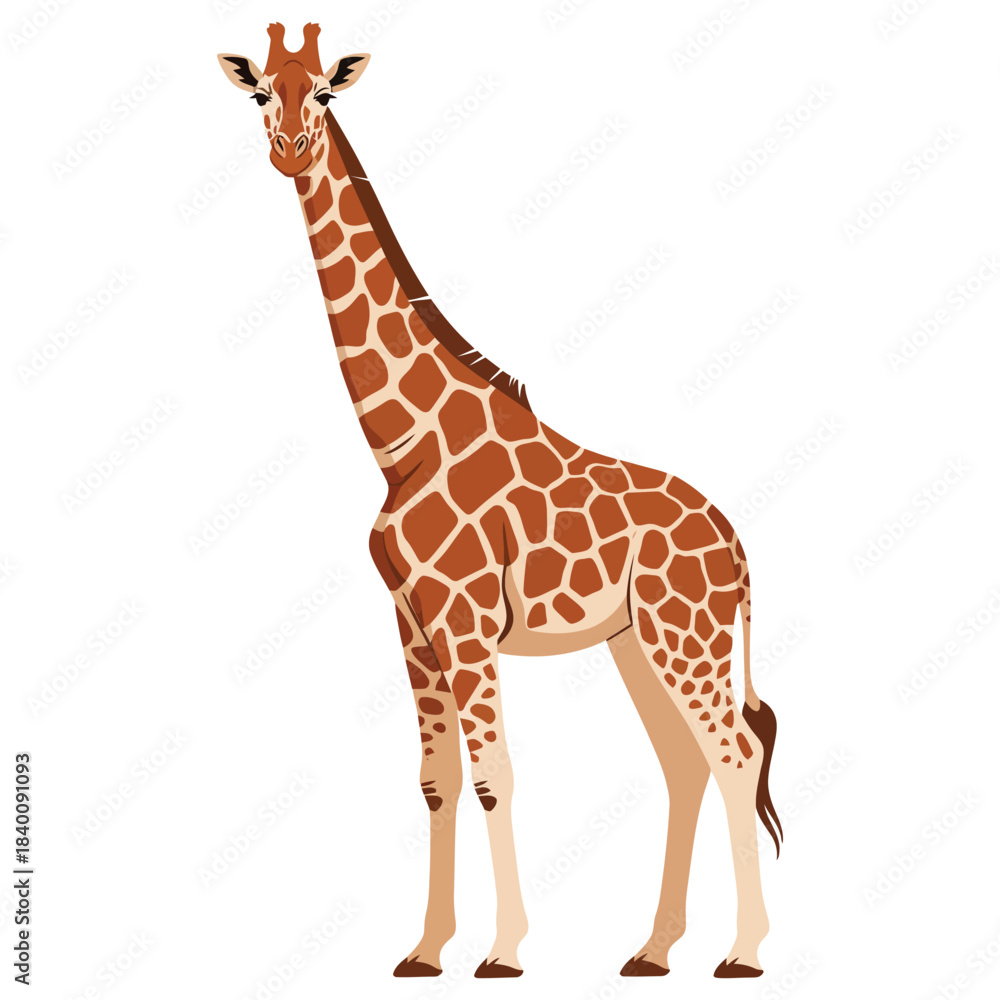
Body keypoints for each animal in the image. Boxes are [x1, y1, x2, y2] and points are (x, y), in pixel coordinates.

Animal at [219, 23, 783, 980]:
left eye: (324, 93)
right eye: (261, 93)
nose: (289, 149)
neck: (402, 444)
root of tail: (739, 548)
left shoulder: (467, 619)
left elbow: (494, 775)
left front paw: (505, 951)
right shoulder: (413, 624)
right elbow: (436, 780)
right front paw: (423, 949)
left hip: (689, 637)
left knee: (734, 754)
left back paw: (742, 953)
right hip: (639, 642)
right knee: (684, 763)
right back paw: (653, 949)